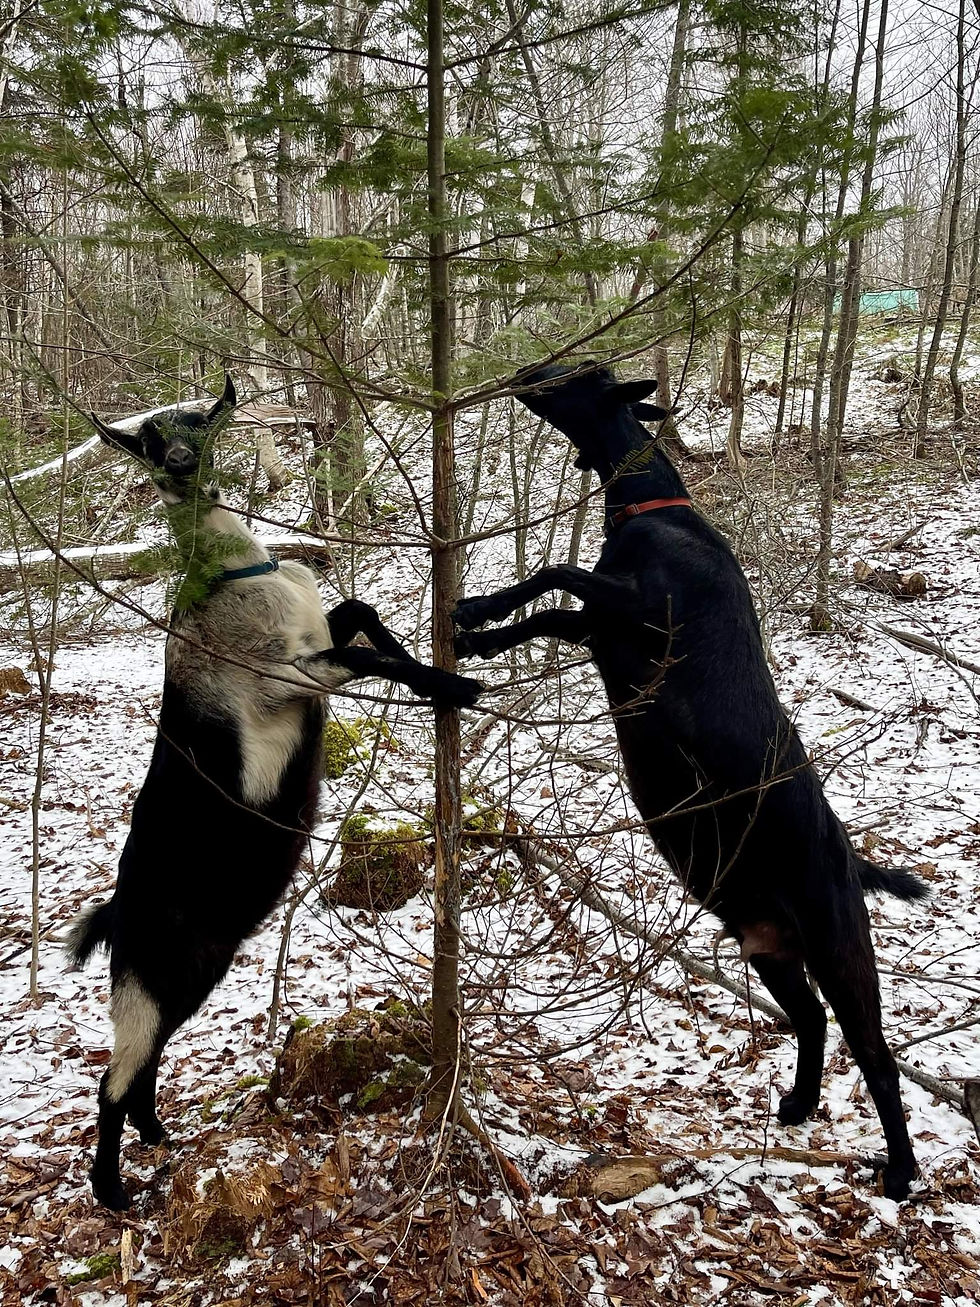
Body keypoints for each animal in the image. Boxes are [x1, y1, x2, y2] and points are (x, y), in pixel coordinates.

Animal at [68, 377, 481, 1209]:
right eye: (149, 441)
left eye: (196, 423)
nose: (183, 461)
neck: (234, 576)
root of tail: (117, 908)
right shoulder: (285, 681)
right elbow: (370, 659)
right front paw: (455, 686)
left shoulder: (317, 639)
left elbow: (362, 614)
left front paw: (441, 656)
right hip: (148, 974)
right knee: (112, 1078)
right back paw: (112, 1189)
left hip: (194, 968)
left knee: (144, 1063)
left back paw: (157, 1135)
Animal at [453, 362, 925, 1201]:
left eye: (581, 375)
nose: (527, 370)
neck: (653, 511)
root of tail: (849, 855)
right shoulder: (595, 627)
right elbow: (543, 608)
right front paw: (478, 623)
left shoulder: (637, 612)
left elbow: (556, 571)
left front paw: (479, 608)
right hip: (768, 946)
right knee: (810, 1020)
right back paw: (799, 1101)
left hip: (838, 947)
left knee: (876, 1055)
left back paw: (900, 1169)